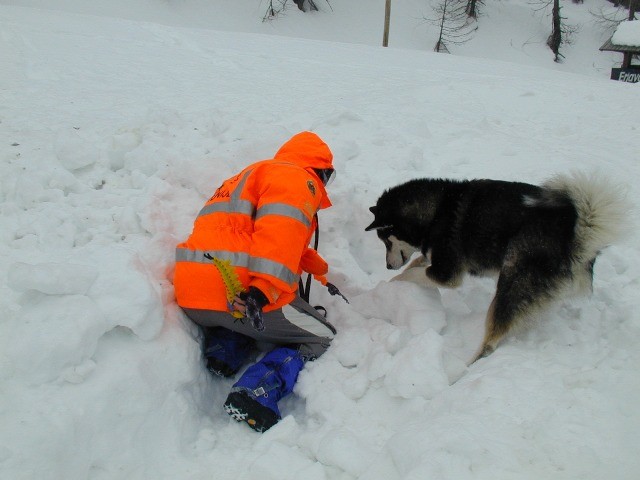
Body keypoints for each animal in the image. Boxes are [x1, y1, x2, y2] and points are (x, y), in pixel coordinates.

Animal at [364, 172, 624, 364]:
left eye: (386, 240)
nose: (387, 266)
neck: (436, 212)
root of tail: (575, 237)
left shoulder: (447, 273)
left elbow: (413, 273)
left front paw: (392, 285)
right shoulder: (435, 258)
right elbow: (417, 263)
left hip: (511, 283)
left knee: (489, 343)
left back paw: (465, 368)